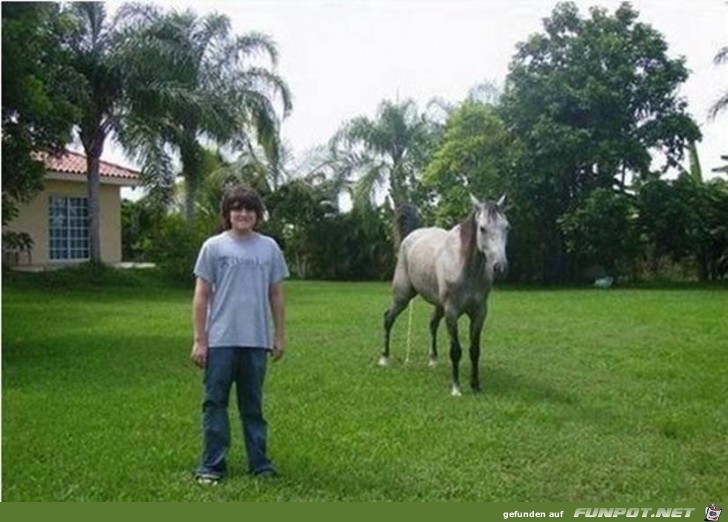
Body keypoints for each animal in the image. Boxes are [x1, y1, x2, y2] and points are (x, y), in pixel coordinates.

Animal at [378, 194, 510, 394]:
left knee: (432, 324)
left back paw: (433, 360)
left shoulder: (479, 313)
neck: (466, 268)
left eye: (506, 227)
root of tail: (411, 236)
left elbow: (475, 350)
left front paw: (475, 386)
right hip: (403, 296)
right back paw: (384, 358)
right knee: (388, 318)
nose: (500, 267)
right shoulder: (452, 312)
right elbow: (455, 351)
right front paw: (456, 388)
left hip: (437, 305)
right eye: (482, 228)